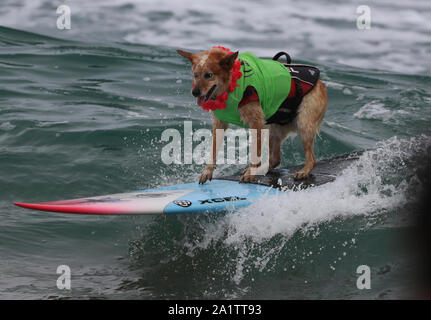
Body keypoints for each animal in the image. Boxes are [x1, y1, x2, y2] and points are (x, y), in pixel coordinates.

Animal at [177, 46, 330, 184]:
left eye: (208, 75)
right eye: (195, 75)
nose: (194, 92)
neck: (231, 86)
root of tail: (320, 83)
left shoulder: (256, 122)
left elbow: (255, 152)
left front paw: (251, 173)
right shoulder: (220, 123)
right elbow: (213, 149)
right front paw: (207, 171)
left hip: (303, 124)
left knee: (312, 158)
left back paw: (303, 171)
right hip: (272, 128)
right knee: (275, 158)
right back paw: (261, 169)